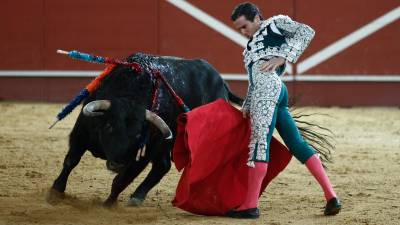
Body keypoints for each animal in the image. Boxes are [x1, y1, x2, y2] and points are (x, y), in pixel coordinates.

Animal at [50, 52, 244, 206]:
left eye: (137, 135)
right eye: (109, 126)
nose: (117, 163)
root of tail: (222, 85)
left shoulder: (142, 154)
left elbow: (121, 180)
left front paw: (108, 205)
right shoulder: (81, 132)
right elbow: (71, 161)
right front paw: (55, 191)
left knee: (169, 166)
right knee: (163, 165)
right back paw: (138, 197)